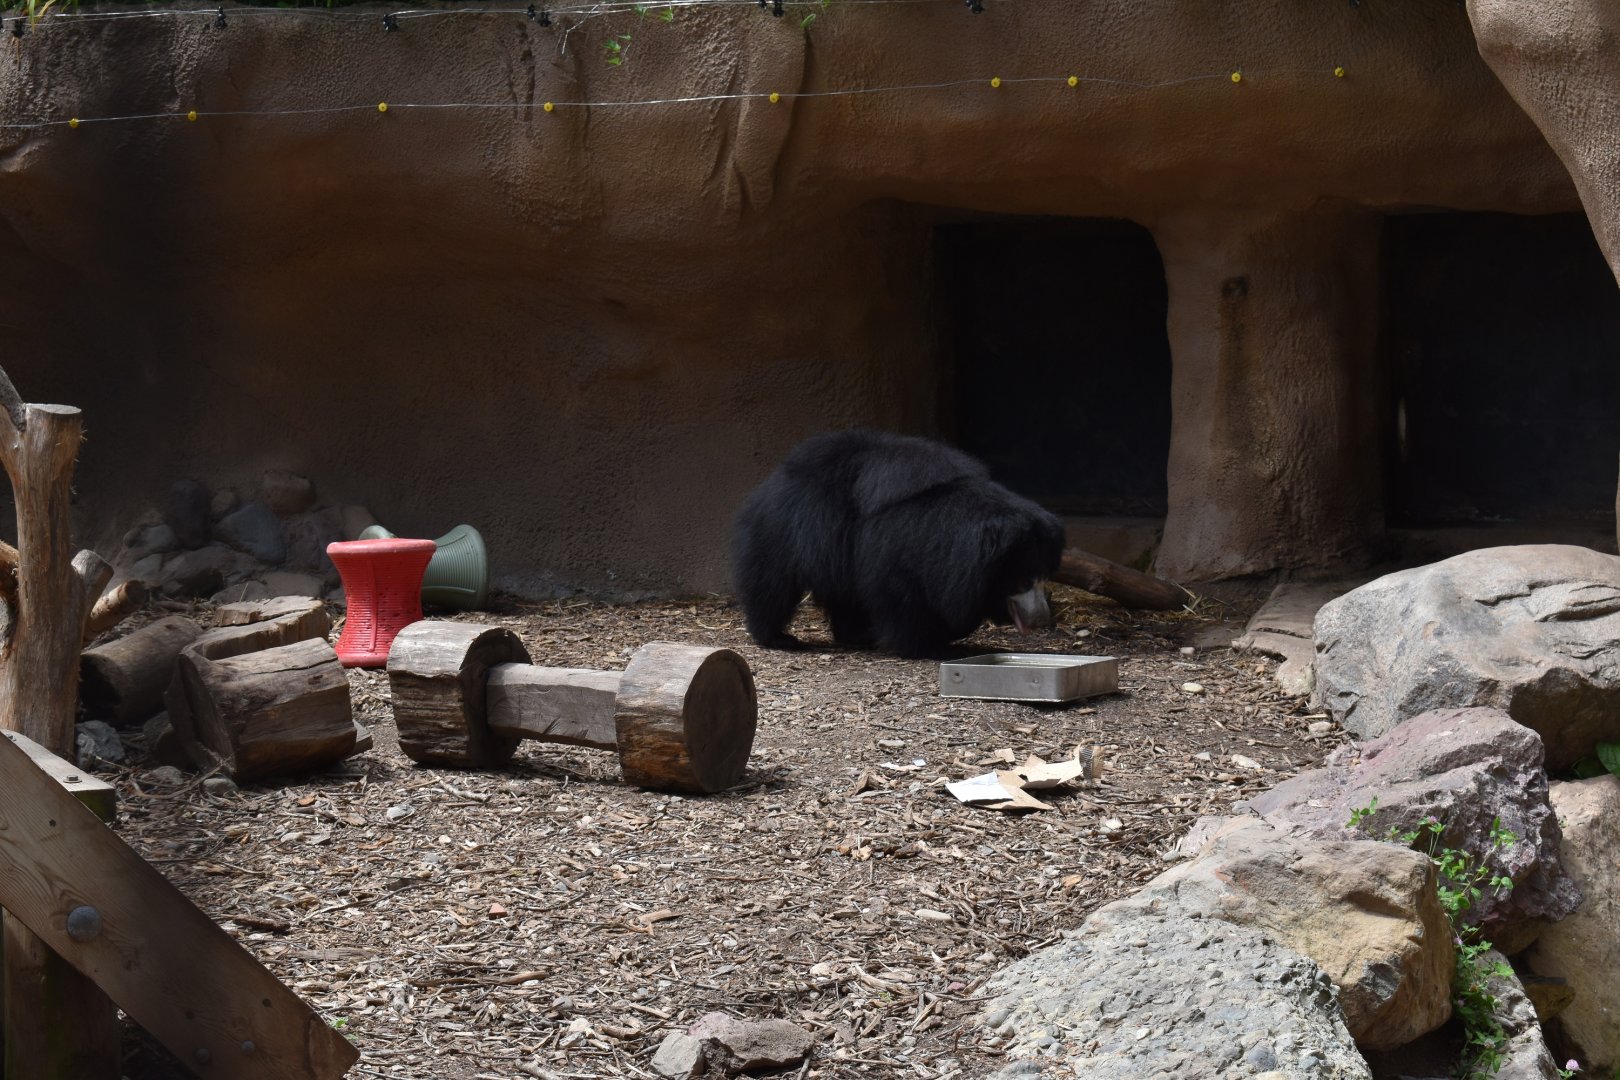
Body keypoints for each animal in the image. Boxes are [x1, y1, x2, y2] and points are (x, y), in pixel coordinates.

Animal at [731, 428, 1065, 658]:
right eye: (1022, 580)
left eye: (1044, 577)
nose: (1041, 619)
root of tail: (771, 482)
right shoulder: (899, 551)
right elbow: (902, 598)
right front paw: (929, 645)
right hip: (783, 534)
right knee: (772, 585)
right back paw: (778, 638)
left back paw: (856, 635)